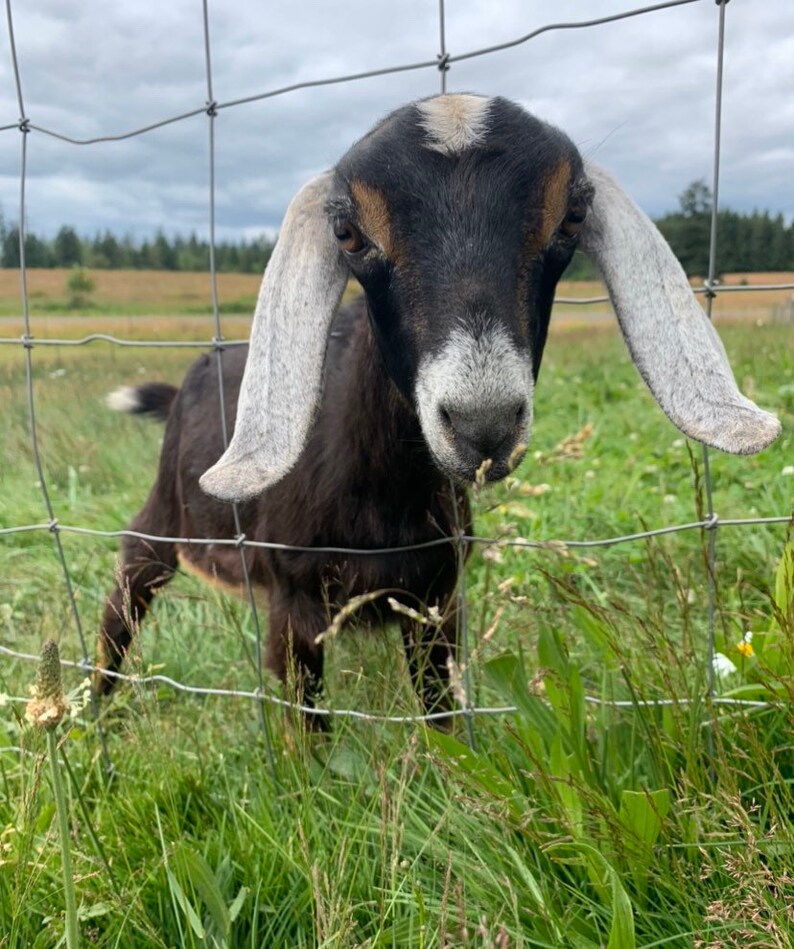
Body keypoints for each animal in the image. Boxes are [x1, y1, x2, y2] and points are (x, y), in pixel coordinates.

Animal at [94, 94, 780, 724]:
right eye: (348, 233)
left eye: (572, 220)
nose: (484, 426)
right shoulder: (295, 609)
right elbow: (309, 738)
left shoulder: (436, 600)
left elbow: (439, 713)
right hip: (161, 526)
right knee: (125, 592)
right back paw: (94, 710)